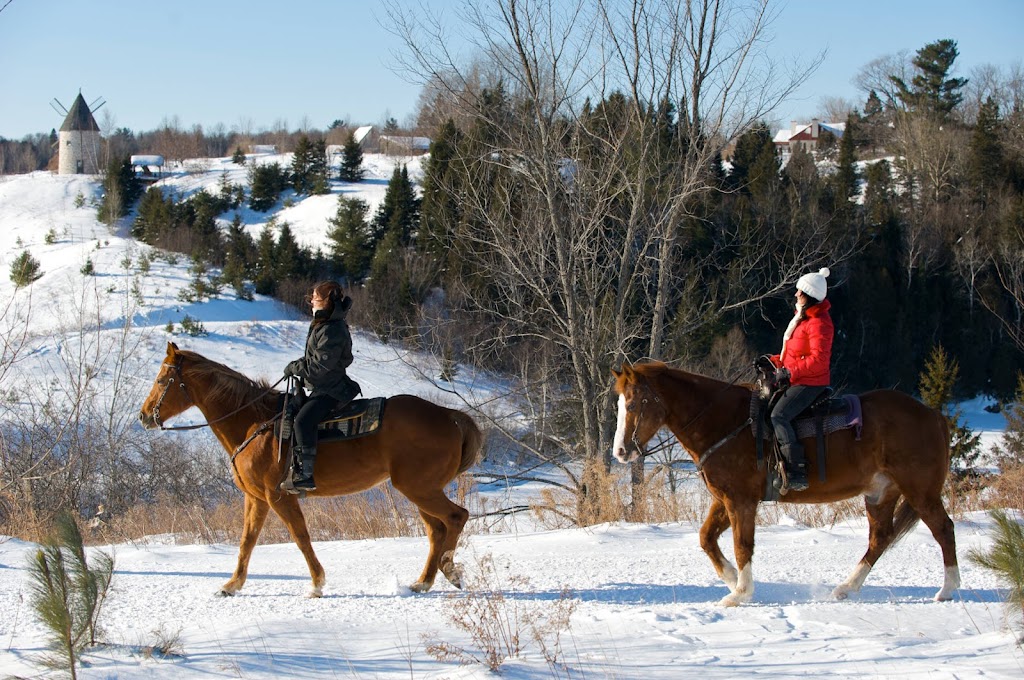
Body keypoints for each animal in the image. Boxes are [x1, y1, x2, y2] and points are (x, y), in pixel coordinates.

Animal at [139, 342, 483, 598]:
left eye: (161, 380)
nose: (144, 416)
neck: (253, 423)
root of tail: (448, 415)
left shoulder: (279, 496)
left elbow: (300, 536)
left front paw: (317, 584)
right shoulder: (256, 499)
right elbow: (246, 541)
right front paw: (231, 585)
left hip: (419, 488)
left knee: (456, 517)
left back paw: (450, 570)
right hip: (420, 490)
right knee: (437, 530)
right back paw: (423, 581)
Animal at [614, 360, 958, 606]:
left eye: (631, 405)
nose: (620, 452)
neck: (725, 423)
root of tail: (932, 414)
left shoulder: (741, 501)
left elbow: (742, 545)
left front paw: (741, 592)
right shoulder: (724, 499)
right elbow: (706, 538)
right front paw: (731, 579)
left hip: (920, 491)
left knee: (943, 529)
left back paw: (948, 588)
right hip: (880, 493)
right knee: (880, 538)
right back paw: (846, 588)